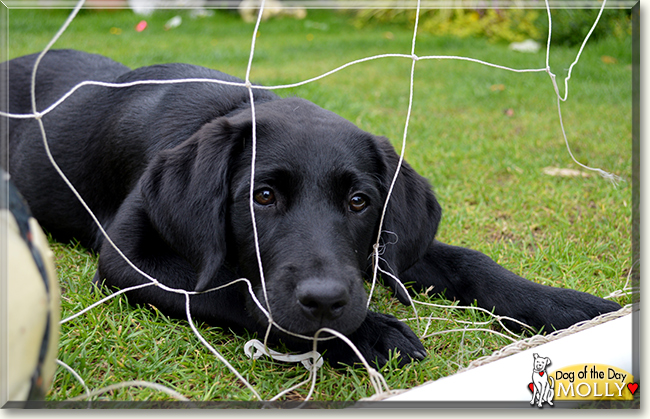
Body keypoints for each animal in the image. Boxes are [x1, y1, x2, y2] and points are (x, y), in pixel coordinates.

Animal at [0, 50, 616, 370]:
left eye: (359, 201)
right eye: (263, 197)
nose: (325, 301)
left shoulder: (384, 246)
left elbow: (472, 261)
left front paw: (567, 307)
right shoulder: (128, 257)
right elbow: (235, 288)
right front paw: (372, 333)